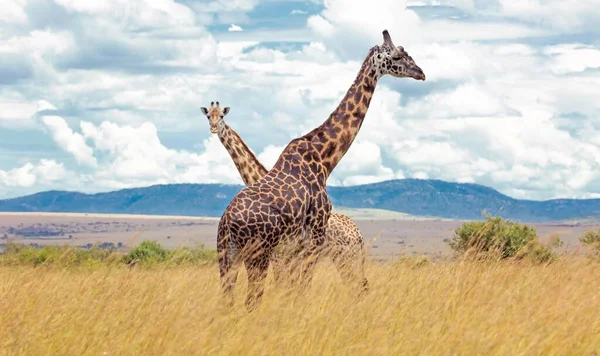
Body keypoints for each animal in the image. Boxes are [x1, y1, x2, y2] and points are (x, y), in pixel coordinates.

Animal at [200, 100, 366, 292]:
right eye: (208, 115)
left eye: (221, 116)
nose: (213, 128)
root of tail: (359, 234)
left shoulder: (280, 256)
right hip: (341, 257)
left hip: (346, 256)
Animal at [218, 29, 424, 310]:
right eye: (396, 56)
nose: (420, 72)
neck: (325, 160)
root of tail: (227, 222)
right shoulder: (312, 238)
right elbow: (300, 290)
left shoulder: (295, 249)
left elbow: (294, 290)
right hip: (258, 254)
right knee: (252, 300)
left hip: (226, 256)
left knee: (228, 300)